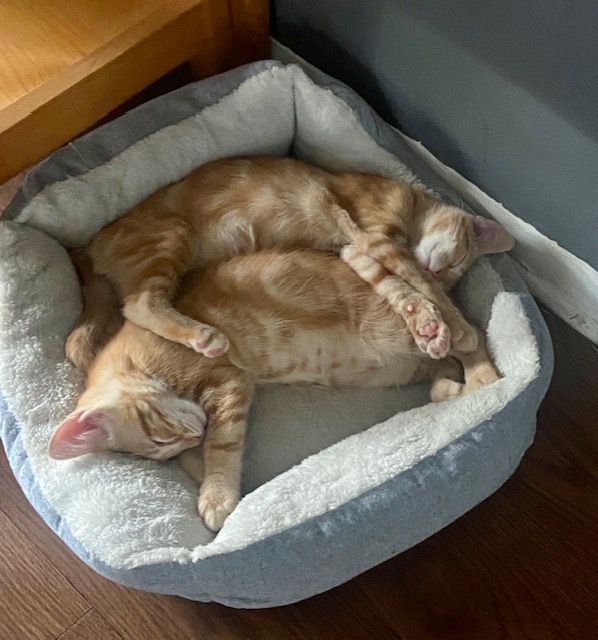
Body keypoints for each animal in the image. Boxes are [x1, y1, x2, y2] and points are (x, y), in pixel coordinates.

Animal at [52, 248, 502, 532]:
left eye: (161, 435)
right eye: (165, 450)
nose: (193, 434)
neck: (138, 361)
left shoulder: (229, 383)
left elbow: (222, 448)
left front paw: (217, 495)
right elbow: (200, 461)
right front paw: (204, 476)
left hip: (419, 331)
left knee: (471, 336)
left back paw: (481, 374)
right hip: (412, 364)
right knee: (445, 368)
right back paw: (449, 387)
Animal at [68, 156, 512, 370]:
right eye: (458, 262)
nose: (442, 270)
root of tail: (87, 246)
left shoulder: (355, 252)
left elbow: (401, 289)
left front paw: (428, 328)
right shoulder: (376, 237)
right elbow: (418, 282)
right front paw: (460, 328)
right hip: (169, 238)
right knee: (139, 304)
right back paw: (202, 336)